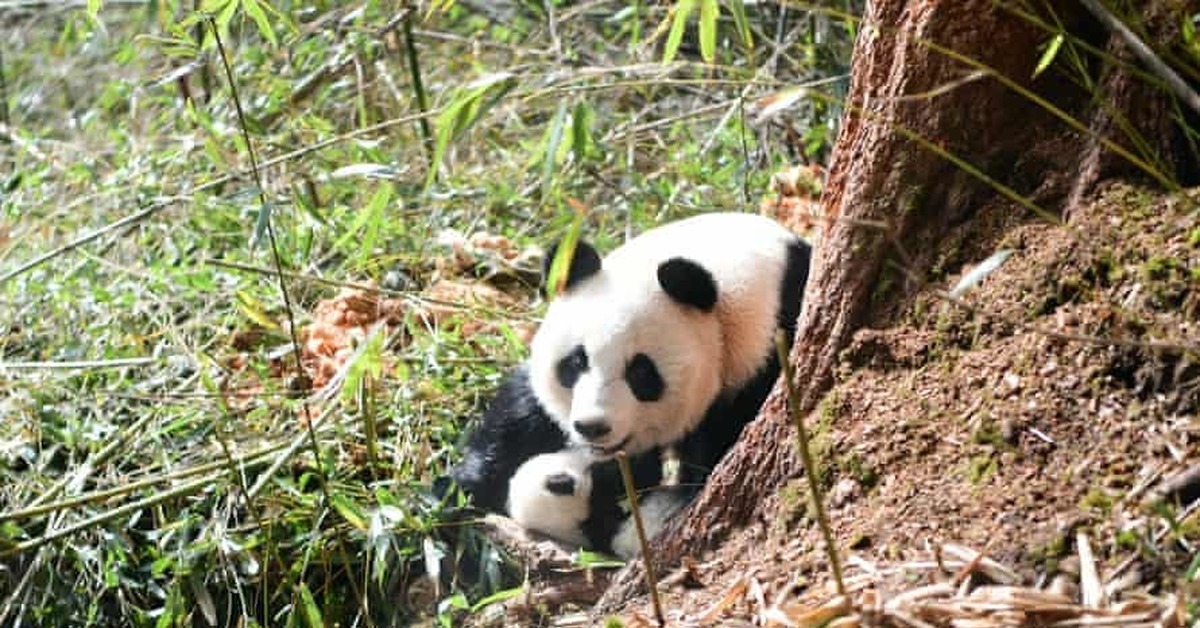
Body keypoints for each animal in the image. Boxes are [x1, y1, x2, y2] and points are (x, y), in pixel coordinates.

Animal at [451, 214, 816, 554]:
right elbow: (522, 412)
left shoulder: (764, 355)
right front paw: (464, 490)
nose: (592, 427)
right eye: (576, 362)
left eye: (641, 373)